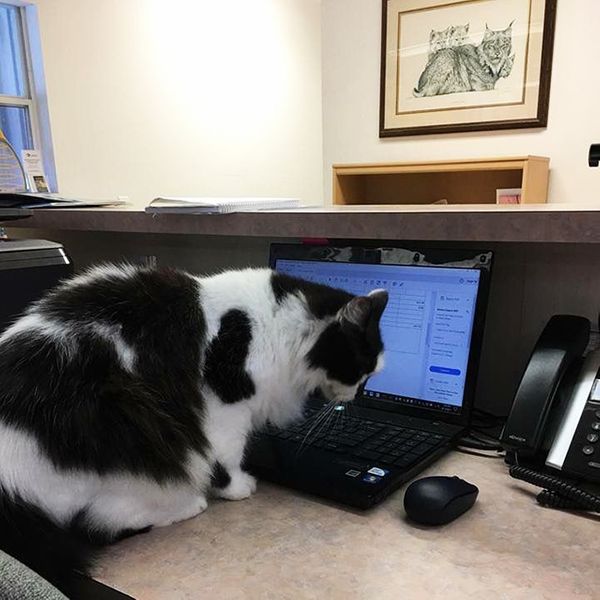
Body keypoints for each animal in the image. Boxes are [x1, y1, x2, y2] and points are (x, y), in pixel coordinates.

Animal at [0, 264, 386, 596]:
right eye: (363, 370)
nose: (358, 395)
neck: (278, 321)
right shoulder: (225, 406)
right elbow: (227, 456)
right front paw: (236, 488)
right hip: (124, 439)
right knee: (101, 525)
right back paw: (190, 505)